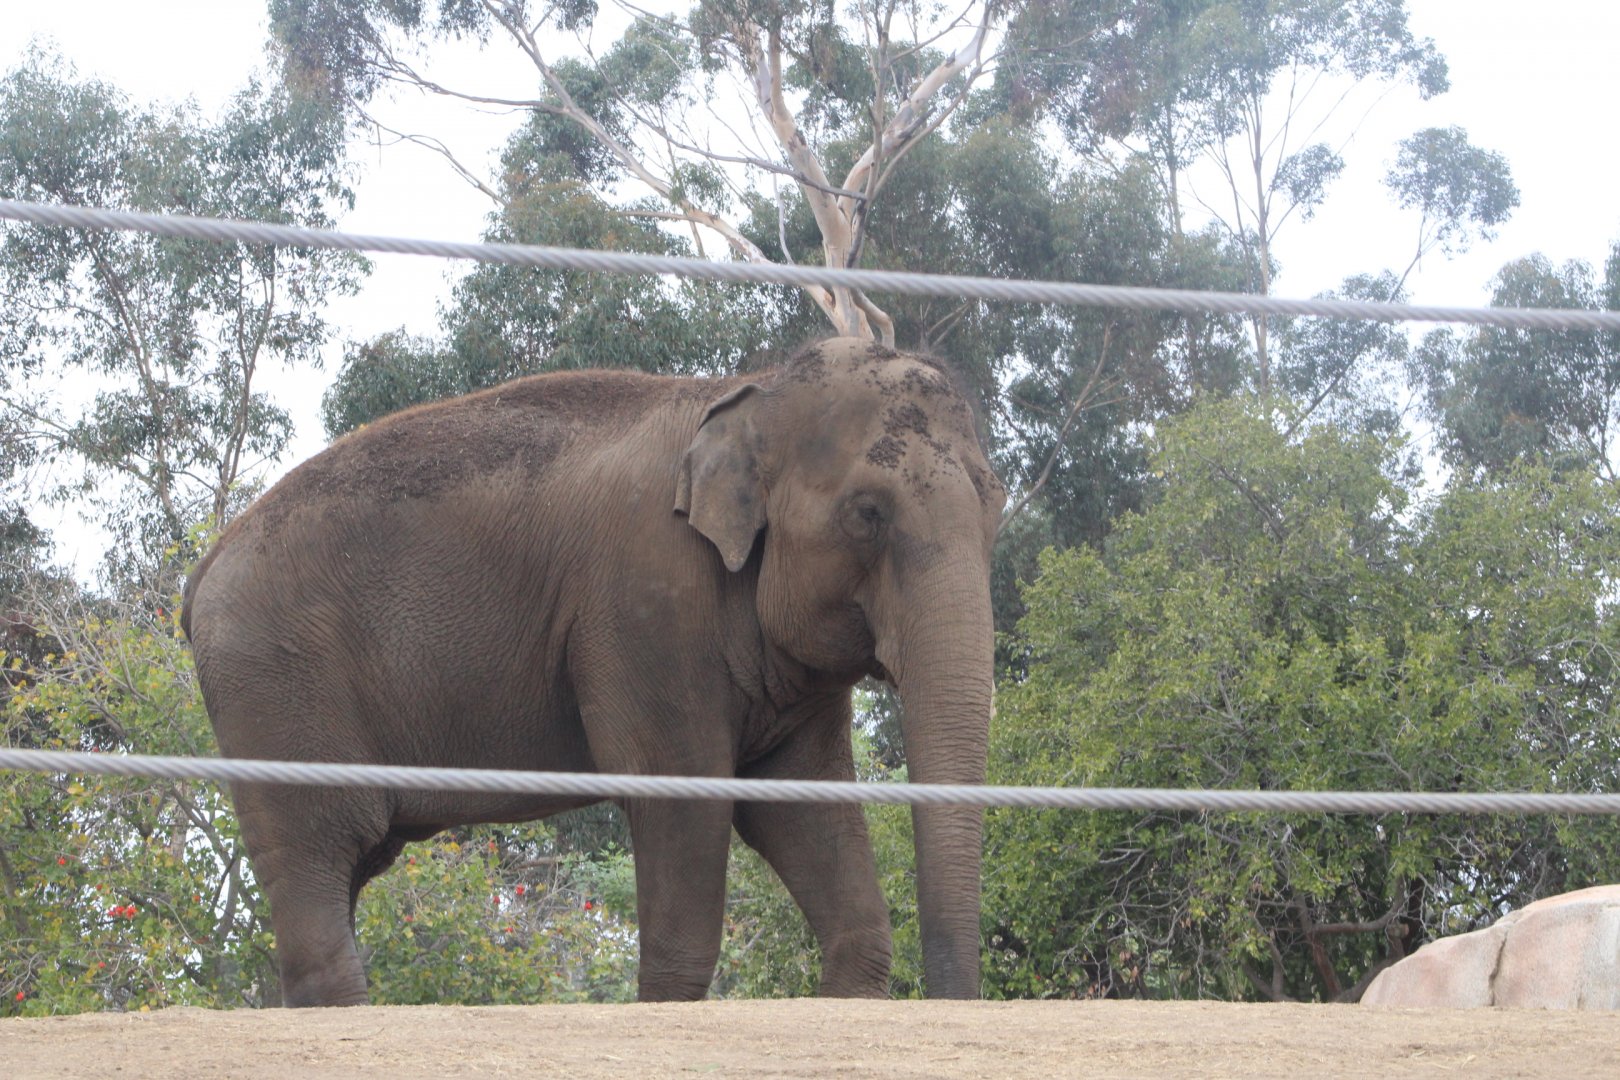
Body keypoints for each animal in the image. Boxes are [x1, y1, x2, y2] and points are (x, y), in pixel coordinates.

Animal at [181, 337, 1004, 1006]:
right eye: (868, 513)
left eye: (994, 500)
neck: (750, 387)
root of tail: (205, 566)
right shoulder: (645, 605)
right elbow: (684, 801)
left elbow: (803, 806)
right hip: (276, 684)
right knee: (319, 863)